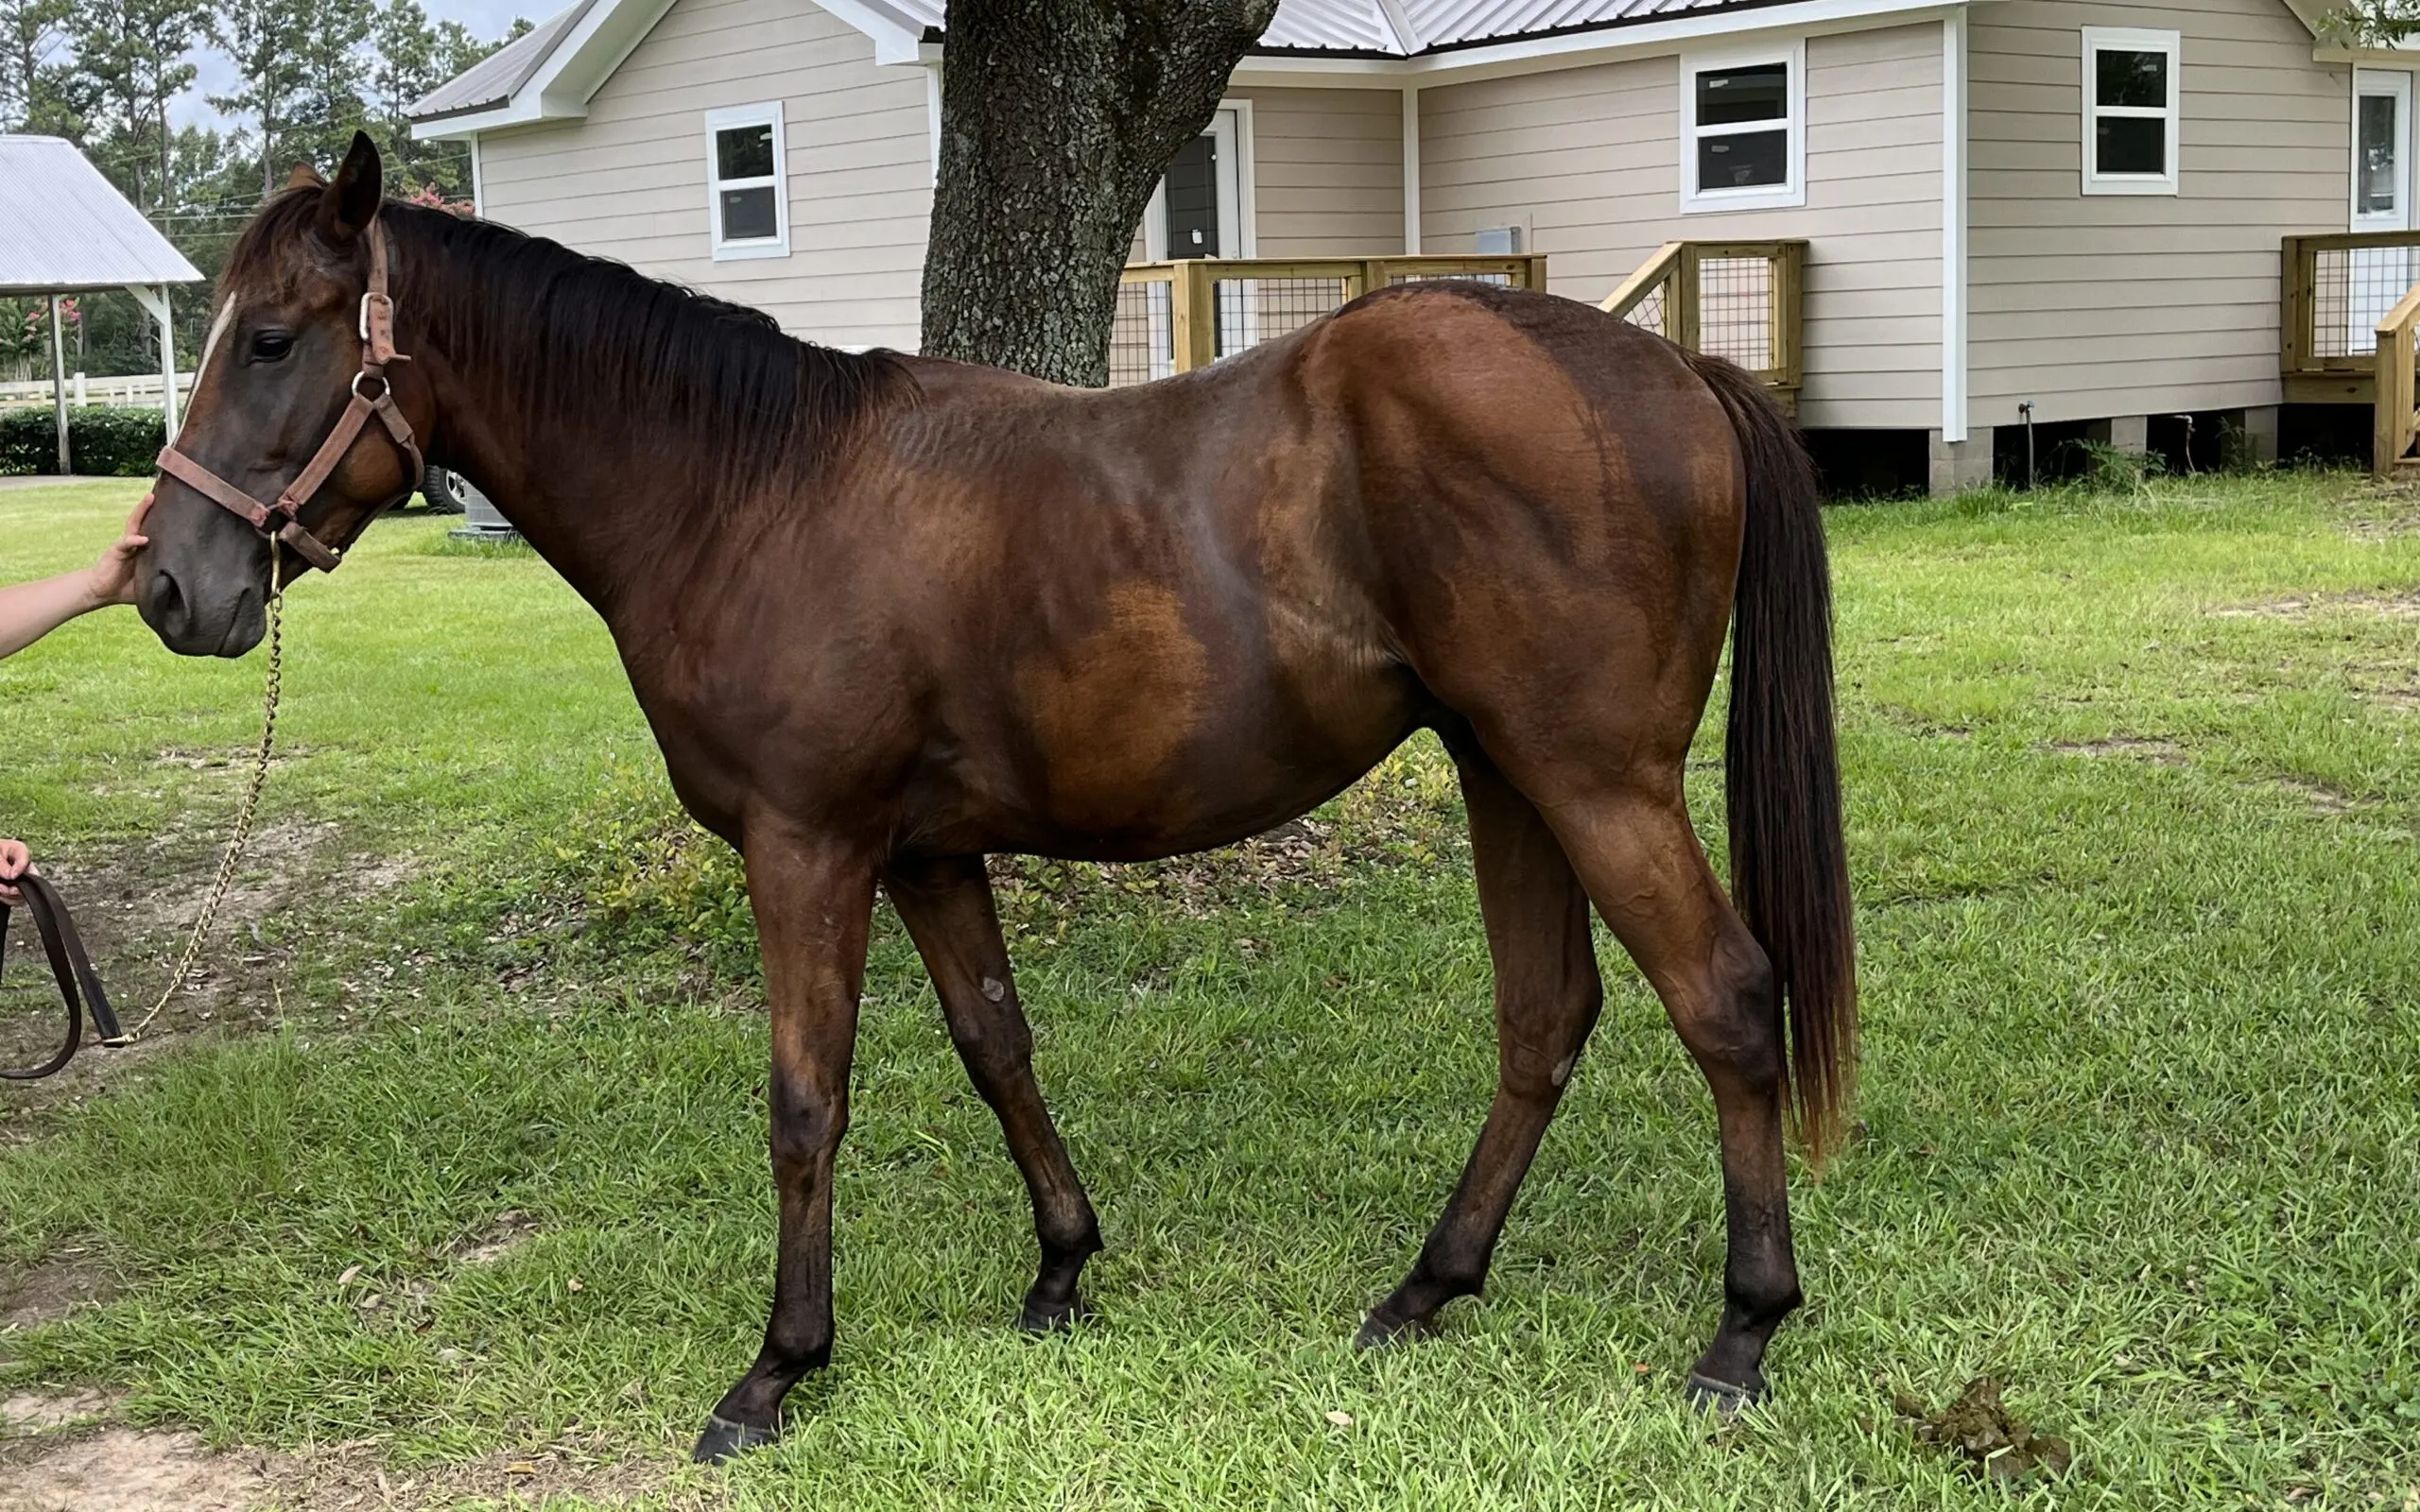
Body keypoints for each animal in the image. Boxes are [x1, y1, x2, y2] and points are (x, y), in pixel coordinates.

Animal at [137, 135, 1848, 1461]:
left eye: (272, 340)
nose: (168, 584)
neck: (744, 492)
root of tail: (1676, 368)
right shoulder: (926, 855)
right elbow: (996, 1048)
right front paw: (1063, 1271)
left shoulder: (808, 848)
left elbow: (806, 1100)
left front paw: (779, 1367)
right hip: (1505, 770)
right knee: (1545, 1018)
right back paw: (1431, 1287)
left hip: (1592, 779)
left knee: (1723, 999)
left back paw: (1741, 1334)